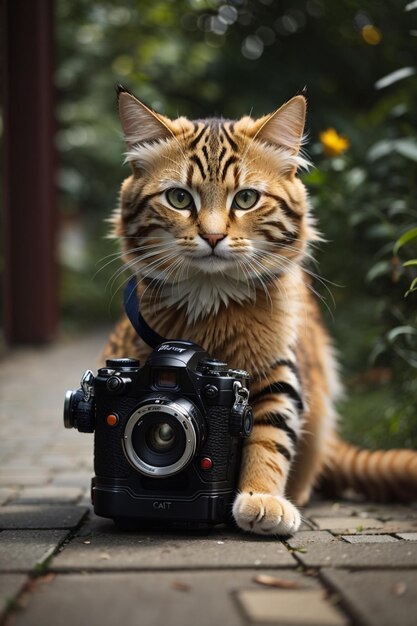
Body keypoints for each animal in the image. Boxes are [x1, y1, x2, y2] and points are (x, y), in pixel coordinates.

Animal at [101, 88, 416, 532]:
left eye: (246, 198)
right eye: (179, 198)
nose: (213, 236)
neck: (211, 302)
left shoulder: (279, 374)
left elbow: (269, 438)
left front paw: (260, 498)